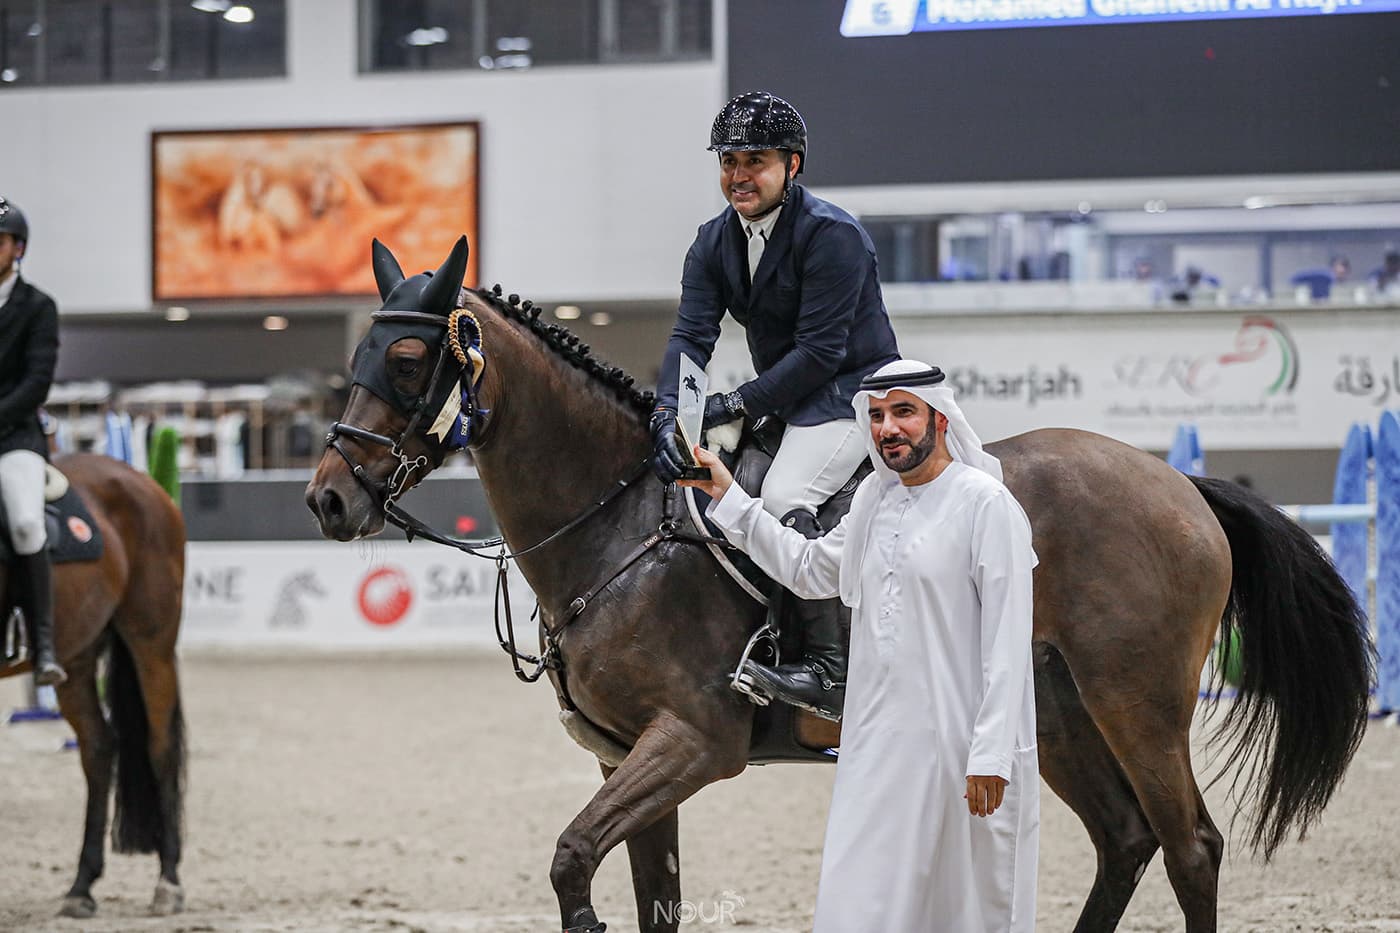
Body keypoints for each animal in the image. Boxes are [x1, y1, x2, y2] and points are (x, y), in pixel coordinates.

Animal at [0, 451, 189, 913]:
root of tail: (138, 478)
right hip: (77, 654)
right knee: (99, 749)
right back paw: (81, 887)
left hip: (151, 641)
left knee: (160, 747)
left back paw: (168, 883)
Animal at [303, 238, 1366, 930]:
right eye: (352, 357)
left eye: (409, 358)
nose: (327, 498)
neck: (617, 524)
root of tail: (1176, 482)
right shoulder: (624, 760)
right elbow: (648, 897)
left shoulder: (694, 741)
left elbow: (571, 861)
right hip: (1054, 710)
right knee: (1124, 840)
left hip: (1134, 698)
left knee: (1190, 847)